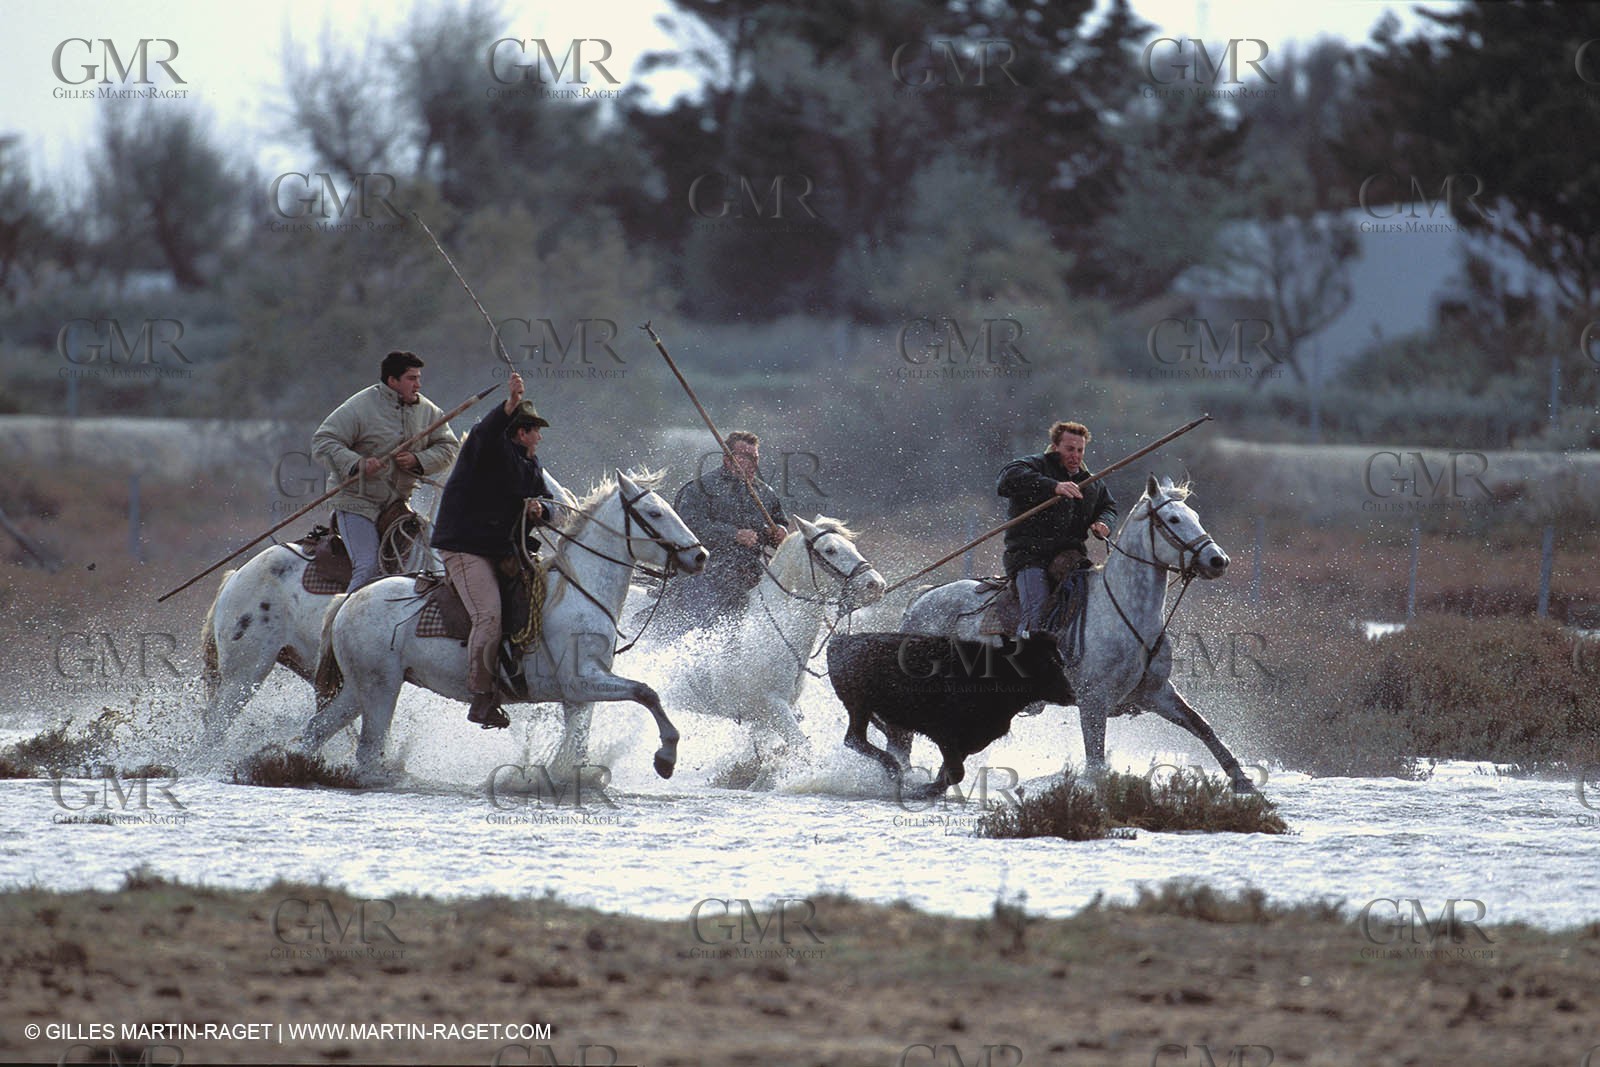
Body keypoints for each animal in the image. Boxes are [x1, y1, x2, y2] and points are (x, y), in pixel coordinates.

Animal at [293, 470, 707, 783]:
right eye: (654, 513)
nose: (700, 555)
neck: (578, 591)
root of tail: (349, 600)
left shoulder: (579, 695)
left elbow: (580, 742)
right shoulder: (582, 680)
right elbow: (646, 693)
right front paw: (666, 757)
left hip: (357, 690)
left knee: (313, 733)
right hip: (381, 688)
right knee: (367, 750)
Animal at [637, 515, 886, 764]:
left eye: (852, 546)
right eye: (830, 549)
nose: (876, 585)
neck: (774, 630)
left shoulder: (765, 719)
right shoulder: (773, 708)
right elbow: (804, 749)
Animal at [827, 631, 1075, 799]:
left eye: (1060, 660)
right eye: (1043, 662)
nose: (1071, 694)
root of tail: (839, 641)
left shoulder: (966, 744)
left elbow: (947, 773)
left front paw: (926, 788)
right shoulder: (944, 735)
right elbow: (956, 773)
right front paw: (920, 789)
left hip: (867, 712)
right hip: (859, 707)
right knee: (855, 739)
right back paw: (895, 771)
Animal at [899, 474, 1257, 793]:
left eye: (1195, 517)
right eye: (1173, 518)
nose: (1218, 560)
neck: (1125, 612)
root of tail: (921, 599)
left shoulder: (1157, 694)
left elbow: (1202, 727)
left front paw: (1242, 780)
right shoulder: (1092, 701)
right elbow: (1095, 761)